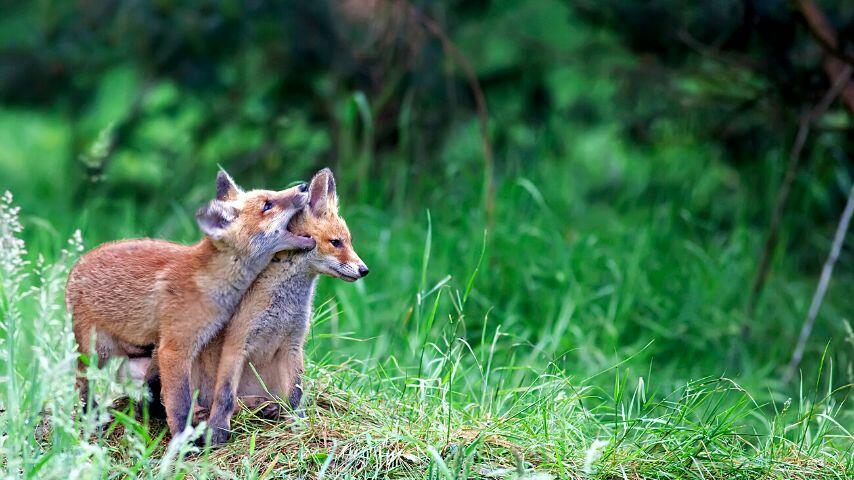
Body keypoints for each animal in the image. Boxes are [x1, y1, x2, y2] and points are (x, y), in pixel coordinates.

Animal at [65, 171, 316, 436]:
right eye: (267, 205)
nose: (303, 185)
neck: (207, 281)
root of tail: (79, 262)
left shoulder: (174, 345)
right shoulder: (175, 348)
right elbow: (179, 403)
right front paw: (182, 438)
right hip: (96, 353)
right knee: (82, 386)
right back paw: (90, 419)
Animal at [191, 167, 368, 444]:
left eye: (348, 242)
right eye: (336, 243)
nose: (364, 270)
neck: (284, 307)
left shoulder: (293, 345)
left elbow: (296, 394)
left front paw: (300, 425)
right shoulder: (236, 344)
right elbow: (225, 396)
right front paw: (218, 431)